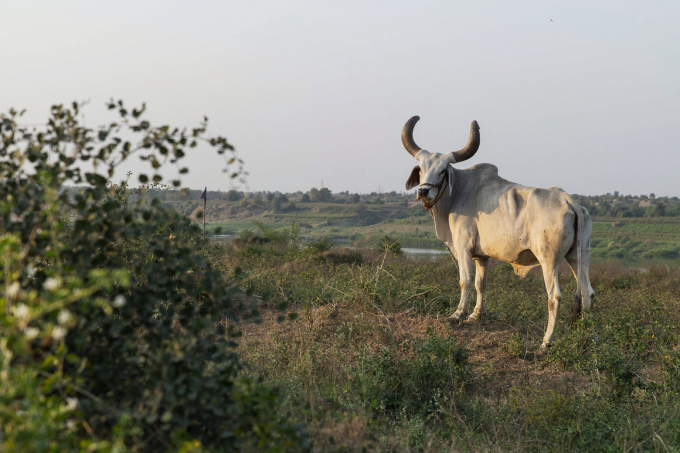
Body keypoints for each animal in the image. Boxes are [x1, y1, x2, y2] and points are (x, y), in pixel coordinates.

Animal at [404, 115, 596, 348]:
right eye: (421, 168)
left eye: (442, 170)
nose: (423, 191)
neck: (458, 191)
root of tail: (569, 201)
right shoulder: (482, 256)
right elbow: (480, 284)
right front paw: (475, 314)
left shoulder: (463, 246)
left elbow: (465, 280)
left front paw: (458, 314)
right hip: (579, 256)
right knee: (587, 293)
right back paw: (587, 338)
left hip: (548, 260)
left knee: (554, 297)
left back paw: (546, 342)